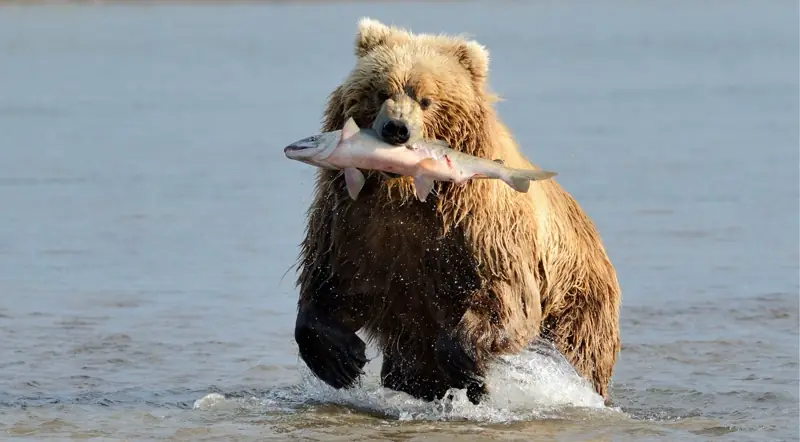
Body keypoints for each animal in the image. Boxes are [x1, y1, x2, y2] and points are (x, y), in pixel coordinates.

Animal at [292, 17, 621, 405]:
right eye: (382, 91)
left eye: (426, 99)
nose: (396, 129)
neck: (402, 193)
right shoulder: (352, 217)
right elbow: (334, 276)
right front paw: (341, 359)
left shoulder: (478, 226)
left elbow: (501, 294)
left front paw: (468, 366)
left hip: (577, 301)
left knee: (576, 350)